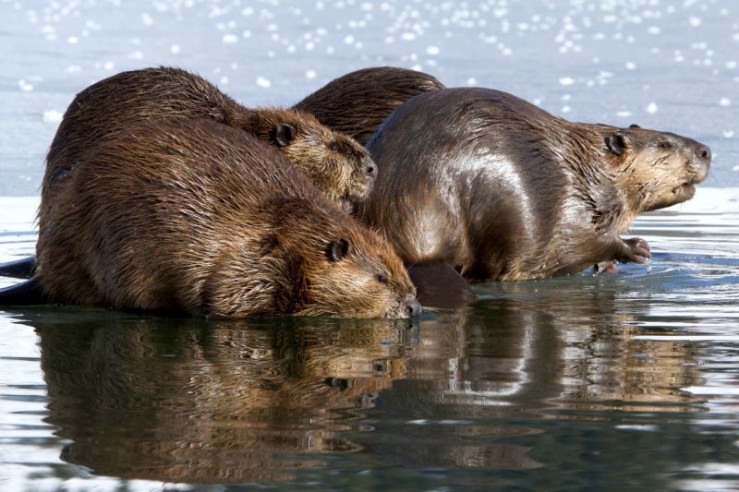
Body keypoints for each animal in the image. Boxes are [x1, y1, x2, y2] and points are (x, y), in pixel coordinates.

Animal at [8, 118, 420, 318]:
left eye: (401, 272)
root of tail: (46, 274)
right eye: (380, 278)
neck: (294, 230)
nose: (413, 308)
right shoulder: (252, 260)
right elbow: (224, 302)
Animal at [360, 87, 711, 281]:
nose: (707, 150)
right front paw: (637, 248)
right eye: (663, 144)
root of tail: (422, 254)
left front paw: (612, 267)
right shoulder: (575, 205)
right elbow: (582, 240)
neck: (587, 169)